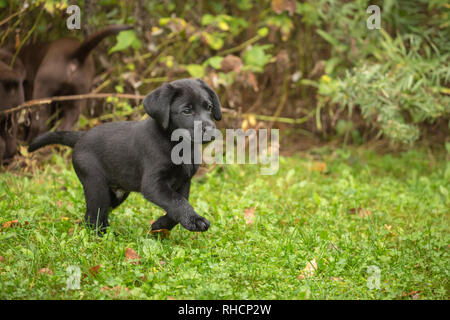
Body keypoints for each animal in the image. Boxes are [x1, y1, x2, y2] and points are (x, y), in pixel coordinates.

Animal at [29, 77, 222, 232]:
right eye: (186, 111)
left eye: (209, 107)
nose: (211, 131)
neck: (177, 145)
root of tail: (81, 137)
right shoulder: (153, 185)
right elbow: (178, 202)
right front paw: (194, 220)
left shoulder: (184, 182)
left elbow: (178, 205)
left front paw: (160, 225)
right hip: (95, 184)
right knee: (93, 216)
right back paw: (102, 237)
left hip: (116, 194)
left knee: (96, 214)